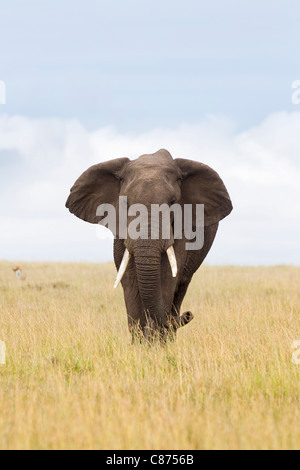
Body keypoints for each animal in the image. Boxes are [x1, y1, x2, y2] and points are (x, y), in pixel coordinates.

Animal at [67, 150, 233, 342]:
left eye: (172, 203)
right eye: (125, 203)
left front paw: (155, 343)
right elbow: (129, 278)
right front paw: (141, 343)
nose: (188, 314)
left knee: (181, 286)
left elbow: (168, 277)